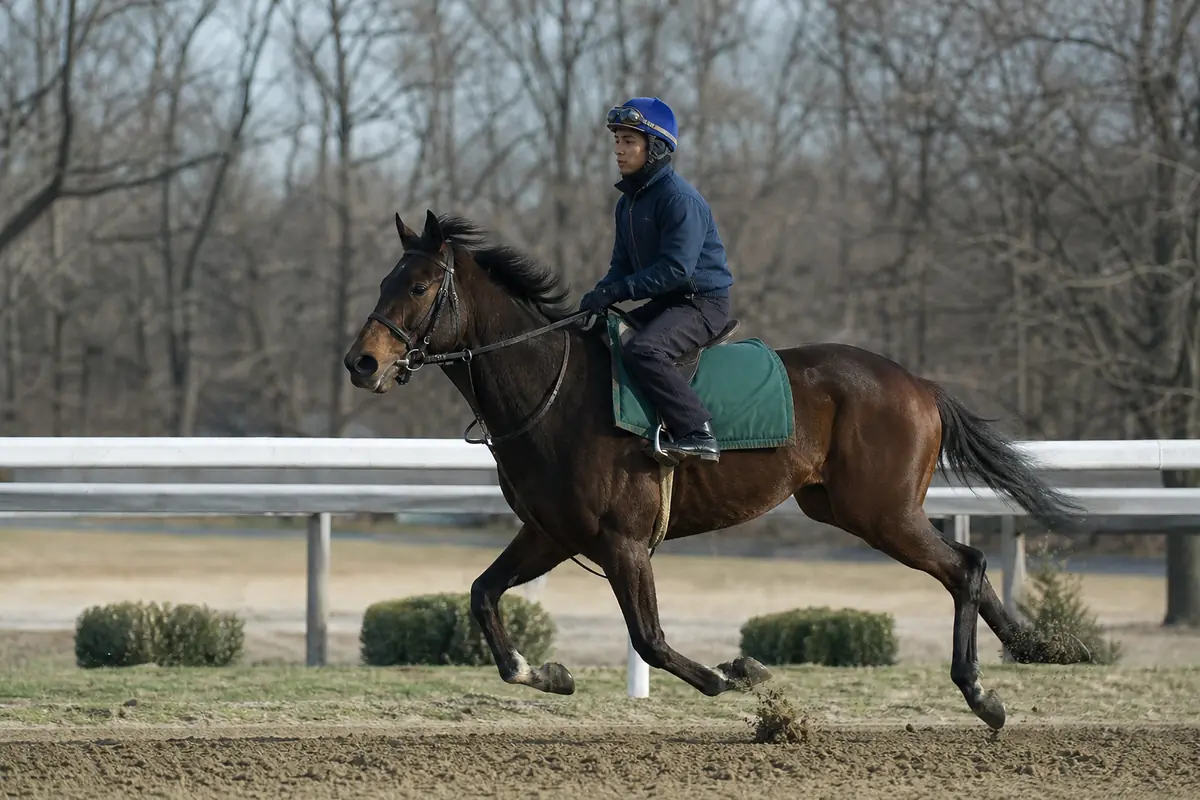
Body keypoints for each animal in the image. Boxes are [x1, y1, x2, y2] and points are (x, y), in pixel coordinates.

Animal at [343, 209, 1087, 731]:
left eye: (418, 285)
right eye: (382, 281)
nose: (362, 362)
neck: (550, 391)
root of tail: (920, 385)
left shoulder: (621, 540)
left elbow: (650, 639)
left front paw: (738, 674)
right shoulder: (551, 532)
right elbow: (482, 595)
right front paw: (547, 672)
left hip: (881, 512)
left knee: (963, 566)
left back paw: (982, 691)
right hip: (846, 507)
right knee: (970, 566)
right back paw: (1032, 649)